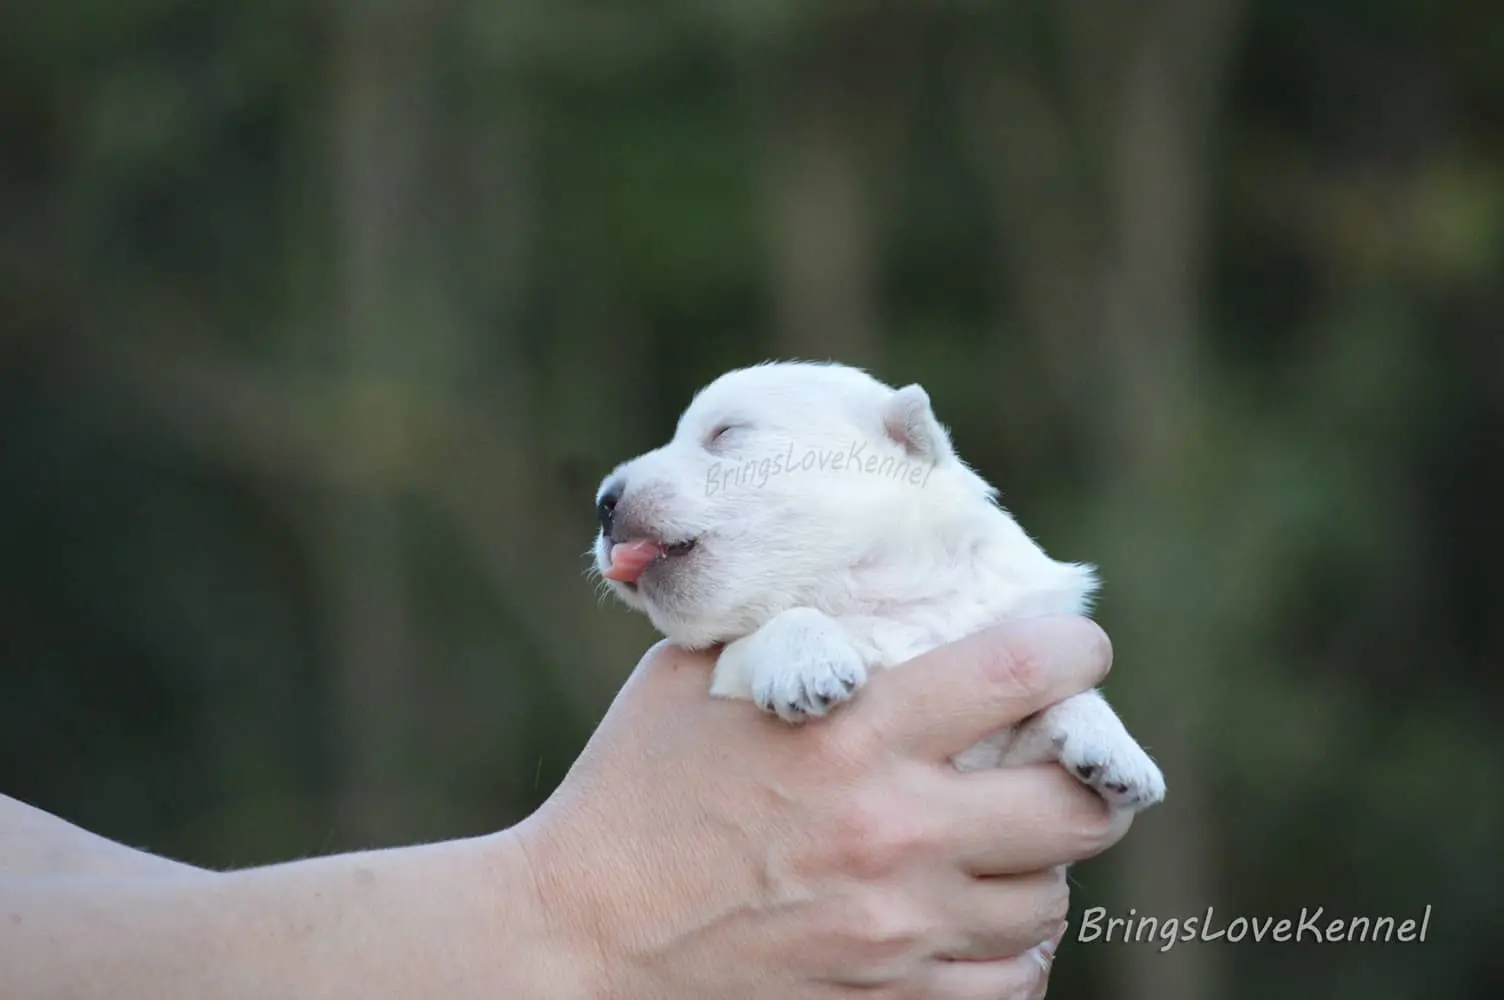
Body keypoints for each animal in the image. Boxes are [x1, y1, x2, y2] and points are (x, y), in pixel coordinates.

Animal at [590, 361, 1164, 810]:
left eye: (725, 433)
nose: (604, 502)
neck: (881, 597)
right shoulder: (725, 676)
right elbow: (771, 628)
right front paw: (807, 664)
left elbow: (1058, 709)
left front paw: (1114, 748)